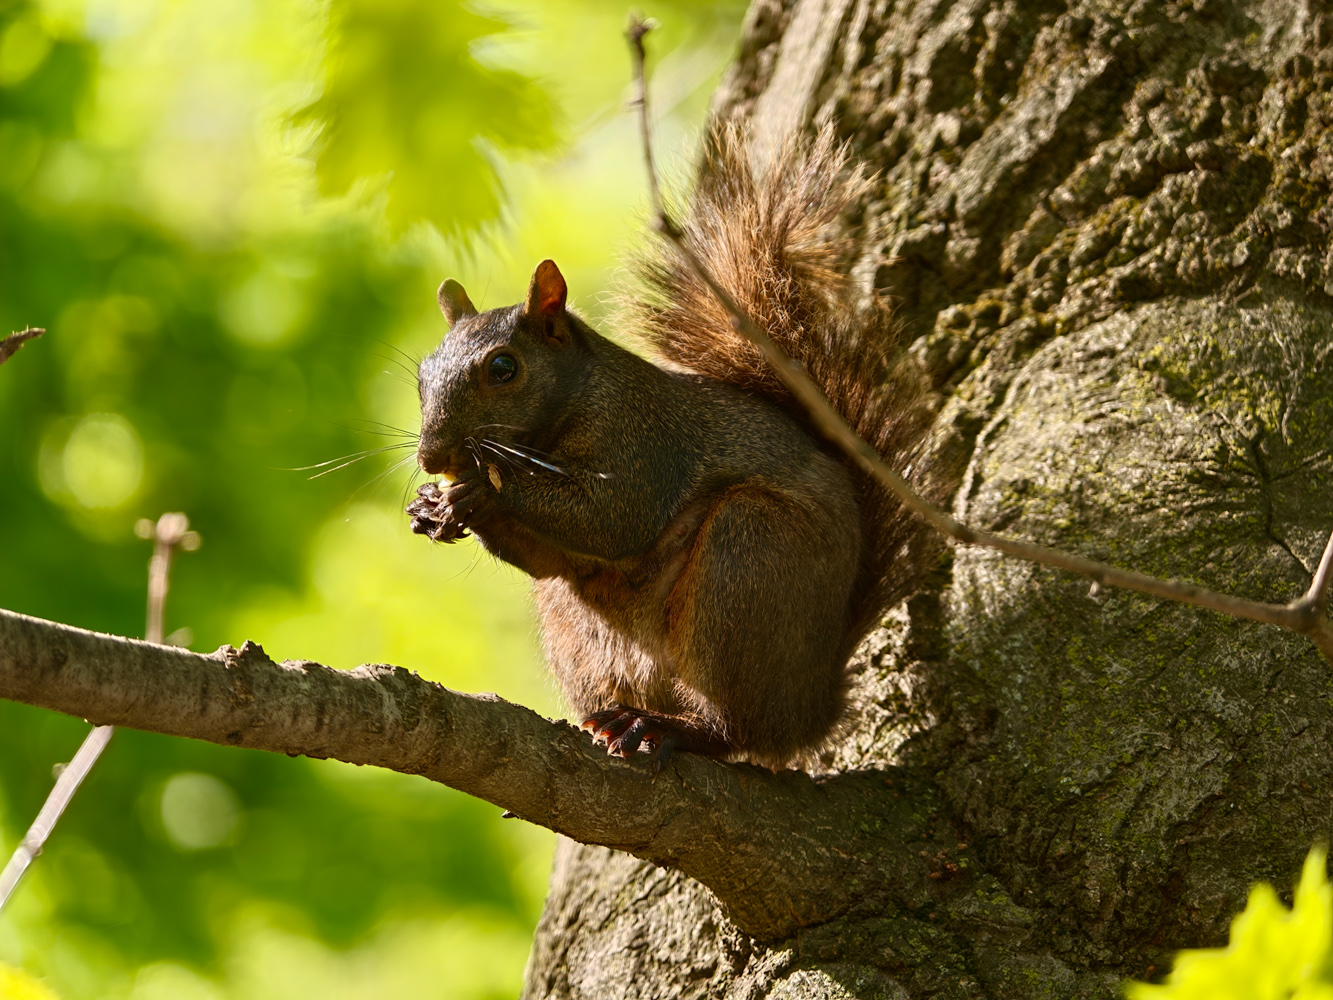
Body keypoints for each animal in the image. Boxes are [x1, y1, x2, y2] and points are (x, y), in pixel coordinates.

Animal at [407, 126, 934, 770]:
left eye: (504, 368)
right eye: (422, 375)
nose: (432, 458)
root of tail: (811, 710)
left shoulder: (645, 445)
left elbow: (610, 518)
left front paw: (477, 491)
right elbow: (552, 559)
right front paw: (432, 506)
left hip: (750, 559)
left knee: (734, 727)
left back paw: (671, 727)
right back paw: (616, 719)